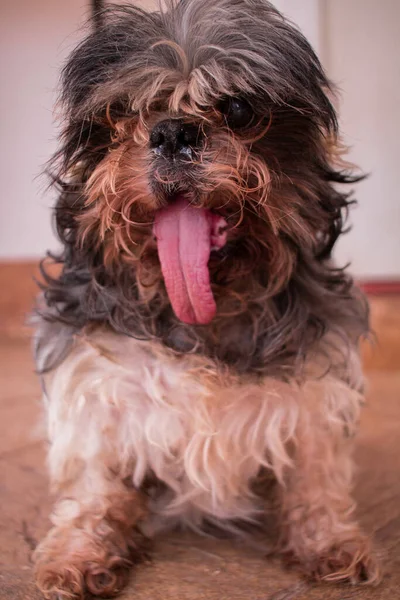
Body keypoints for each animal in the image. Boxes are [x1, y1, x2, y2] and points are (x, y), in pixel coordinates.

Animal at [32, 2, 380, 596]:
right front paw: (77, 554)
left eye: (239, 109)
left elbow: (315, 479)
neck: (203, 314)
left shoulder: (313, 393)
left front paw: (328, 541)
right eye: (123, 113)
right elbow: (96, 489)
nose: (173, 131)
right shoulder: (96, 391)